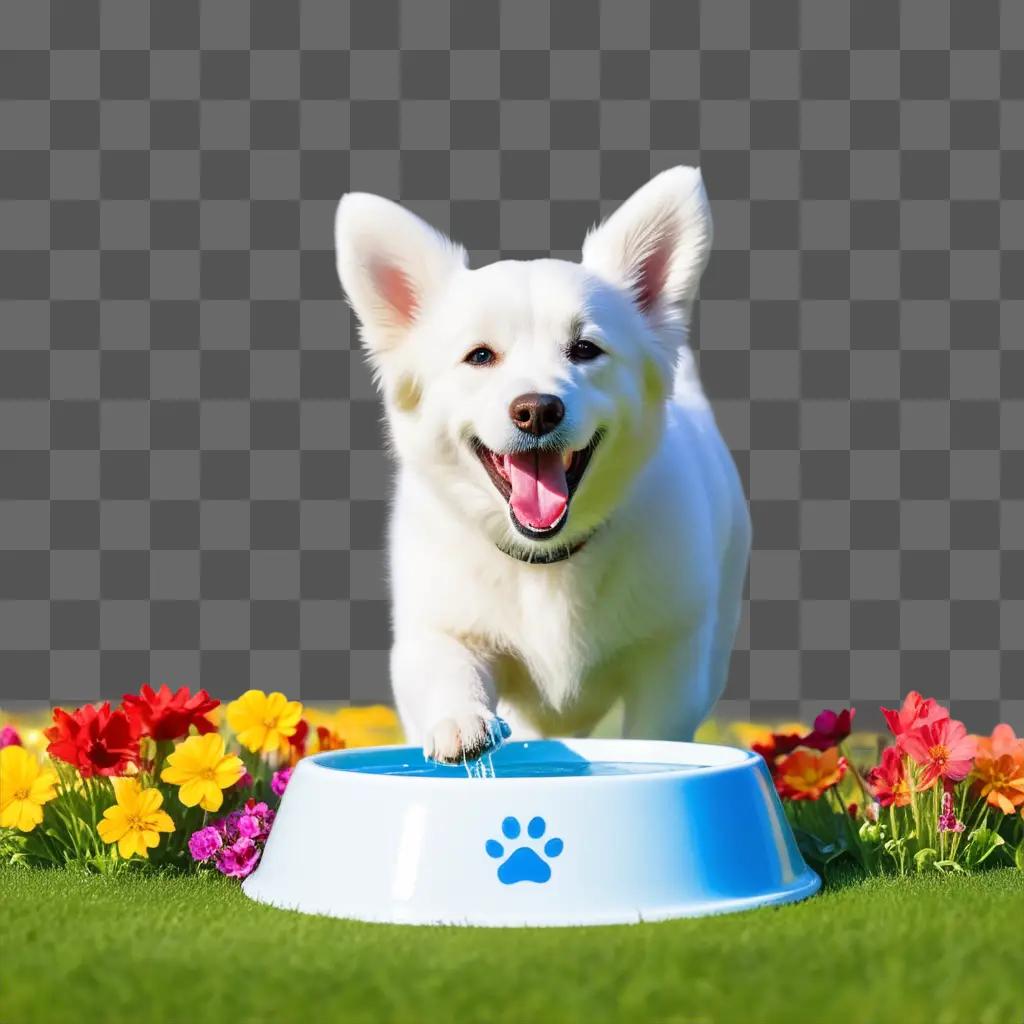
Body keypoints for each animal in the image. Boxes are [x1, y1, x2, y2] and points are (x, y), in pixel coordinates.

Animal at [335, 165, 753, 761]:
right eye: (479, 356)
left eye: (585, 350)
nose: (537, 410)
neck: (546, 562)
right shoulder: (438, 631)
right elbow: (448, 673)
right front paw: (460, 721)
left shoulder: (669, 664)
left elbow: (656, 727)